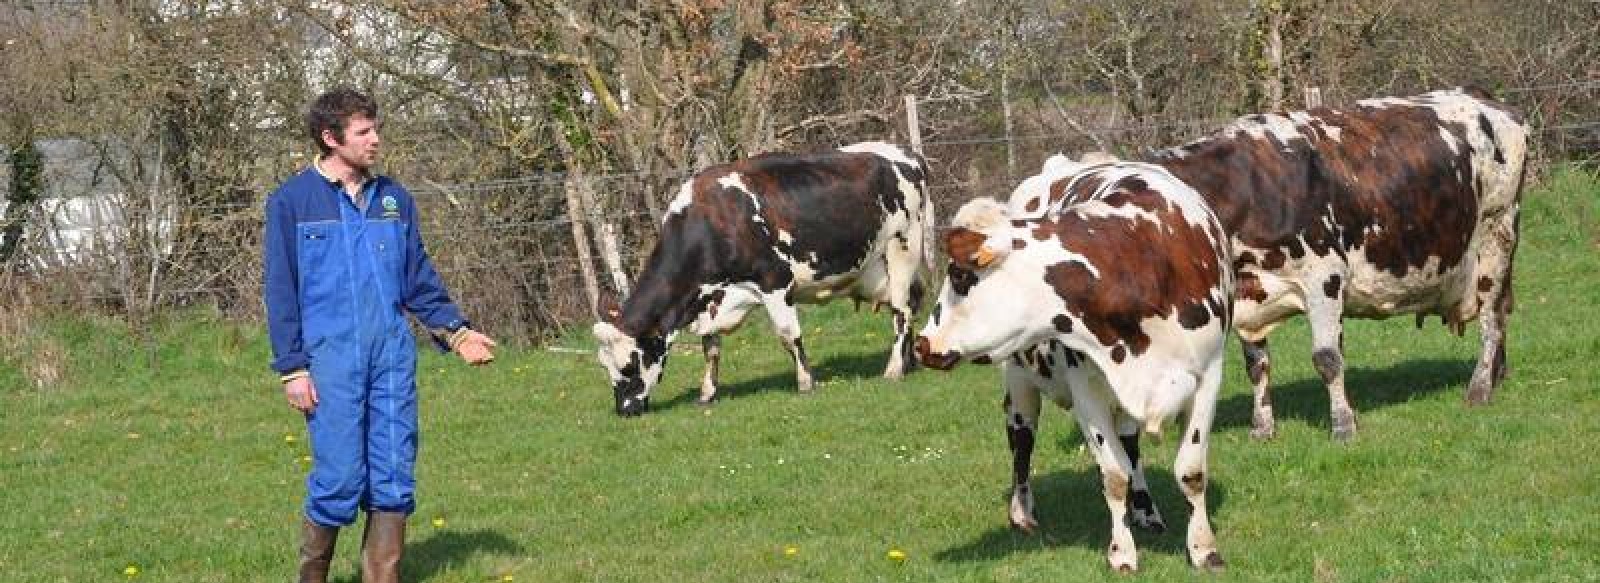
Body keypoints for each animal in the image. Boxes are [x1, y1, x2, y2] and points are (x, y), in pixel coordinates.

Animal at [595, 140, 934, 413]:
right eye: (603, 364)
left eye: (629, 364)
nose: (625, 411)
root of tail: (910, 154)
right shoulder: (711, 300)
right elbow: (710, 347)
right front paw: (707, 394)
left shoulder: (775, 281)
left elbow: (788, 334)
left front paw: (806, 383)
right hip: (876, 269)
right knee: (910, 303)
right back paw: (908, 362)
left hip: (903, 248)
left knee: (902, 311)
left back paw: (893, 370)